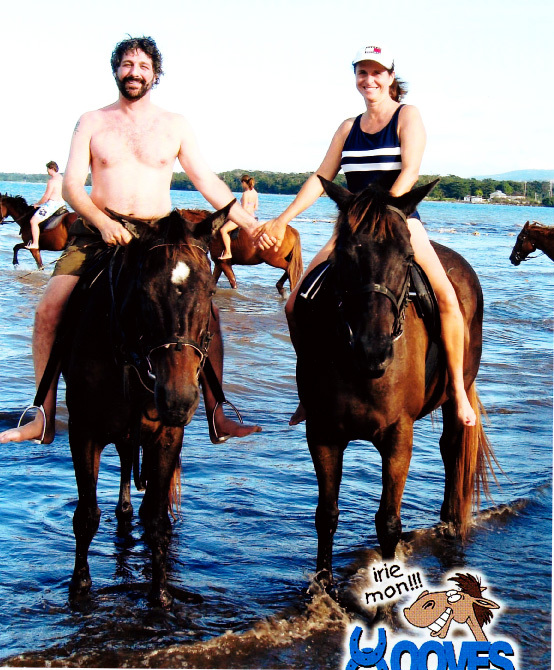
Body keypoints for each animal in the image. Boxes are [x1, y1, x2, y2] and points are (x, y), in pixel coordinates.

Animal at [294, 177, 492, 588]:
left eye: (406, 257)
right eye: (345, 255)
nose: (374, 350)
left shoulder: (399, 436)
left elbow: (388, 523)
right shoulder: (322, 433)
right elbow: (326, 514)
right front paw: (322, 585)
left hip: (457, 395)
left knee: (451, 450)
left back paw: (450, 524)